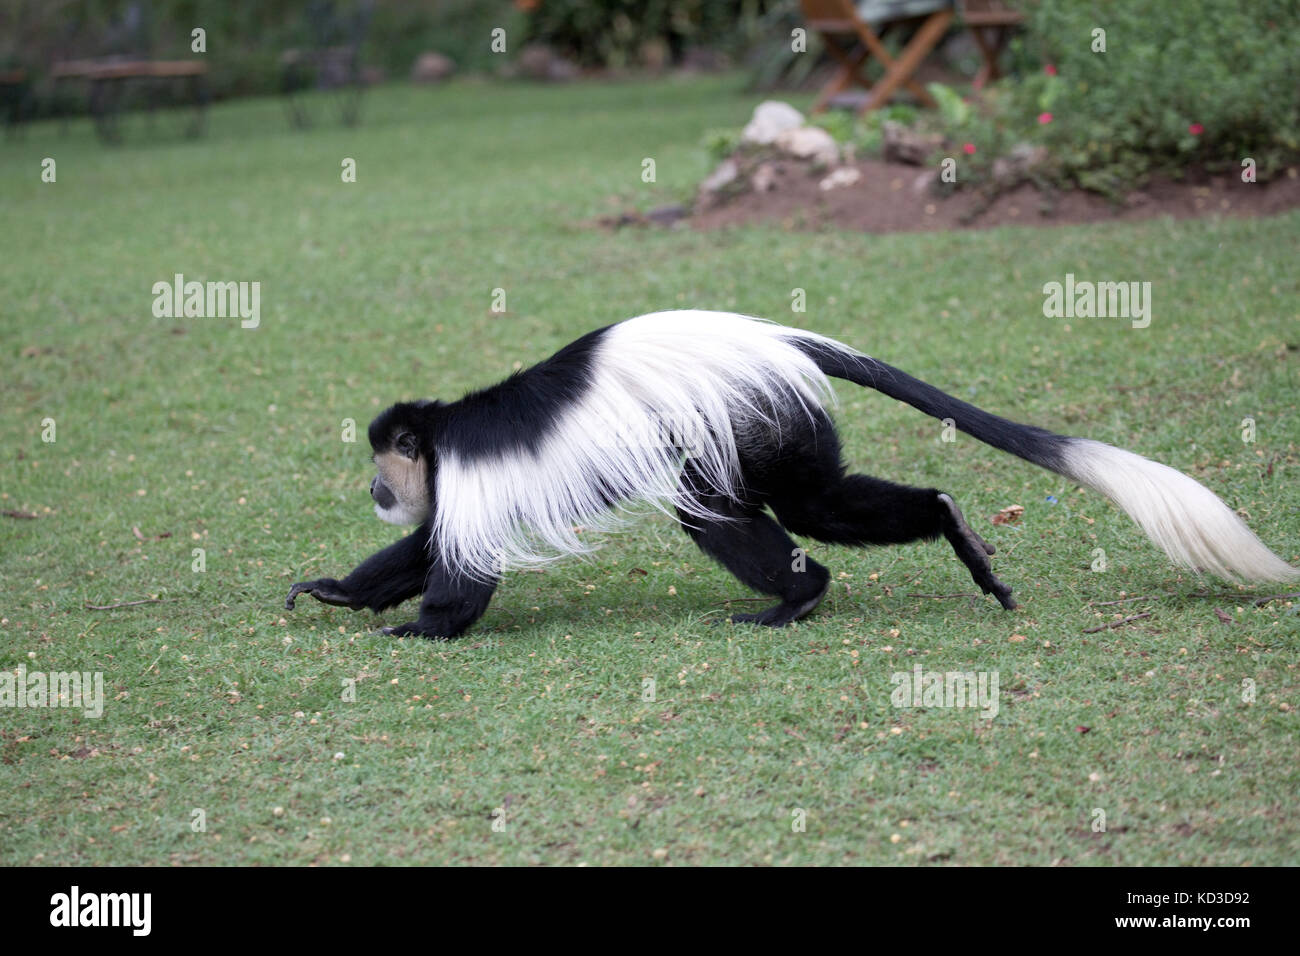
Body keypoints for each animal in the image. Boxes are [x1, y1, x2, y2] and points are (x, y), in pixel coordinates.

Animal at [287, 314, 1300, 639]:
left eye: (383, 464)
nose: (374, 488)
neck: (443, 435)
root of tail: (774, 336)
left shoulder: (470, 477)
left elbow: (461, 568)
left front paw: (421, 631)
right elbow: (422, 548)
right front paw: (340, 591)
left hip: (753, 415)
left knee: (739, 514)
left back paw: (798, 597)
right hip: (776, 425)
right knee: (803, 501)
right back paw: (942, 529)